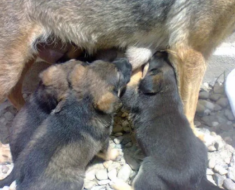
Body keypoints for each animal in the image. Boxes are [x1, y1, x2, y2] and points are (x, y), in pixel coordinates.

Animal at [112, 52, 222, 190]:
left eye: (152, 63)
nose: (162, 51)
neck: (167, 89)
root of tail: (199, 179)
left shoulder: (133, 99)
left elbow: (131, 84)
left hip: (149, 168)